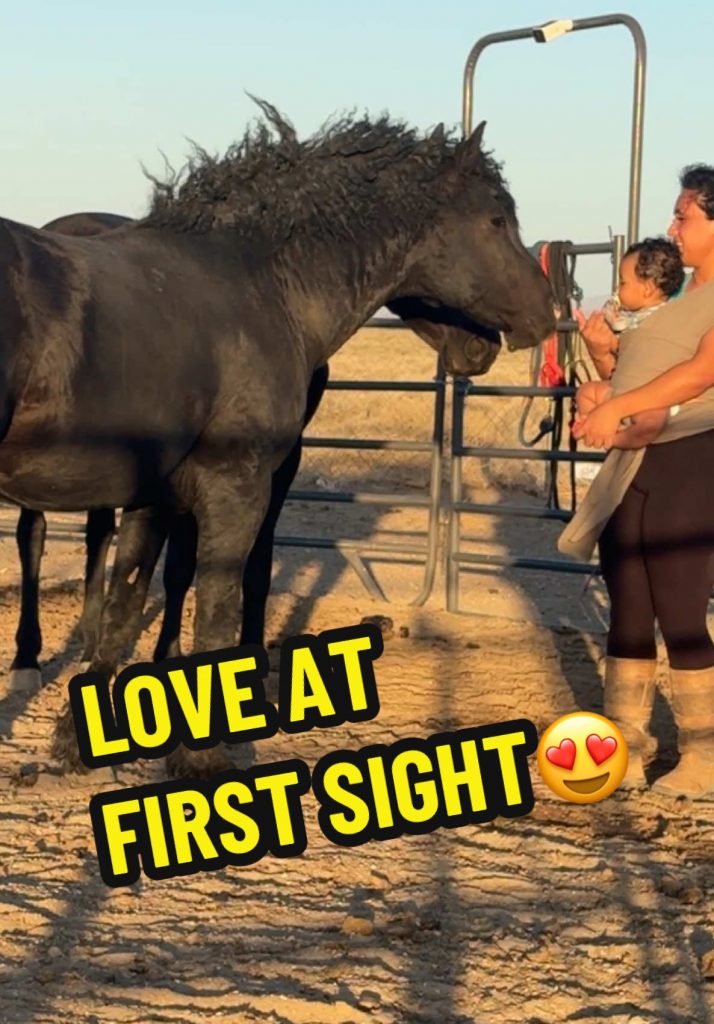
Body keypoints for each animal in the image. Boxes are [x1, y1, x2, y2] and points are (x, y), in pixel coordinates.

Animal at [0, 101, 555, 775]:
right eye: (497, 218)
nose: (548, 312)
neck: (258, 285)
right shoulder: (237, 489)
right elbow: (217, 608)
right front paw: (203, 760)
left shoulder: (154, 496)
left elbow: (125, 604)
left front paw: (79, 742)